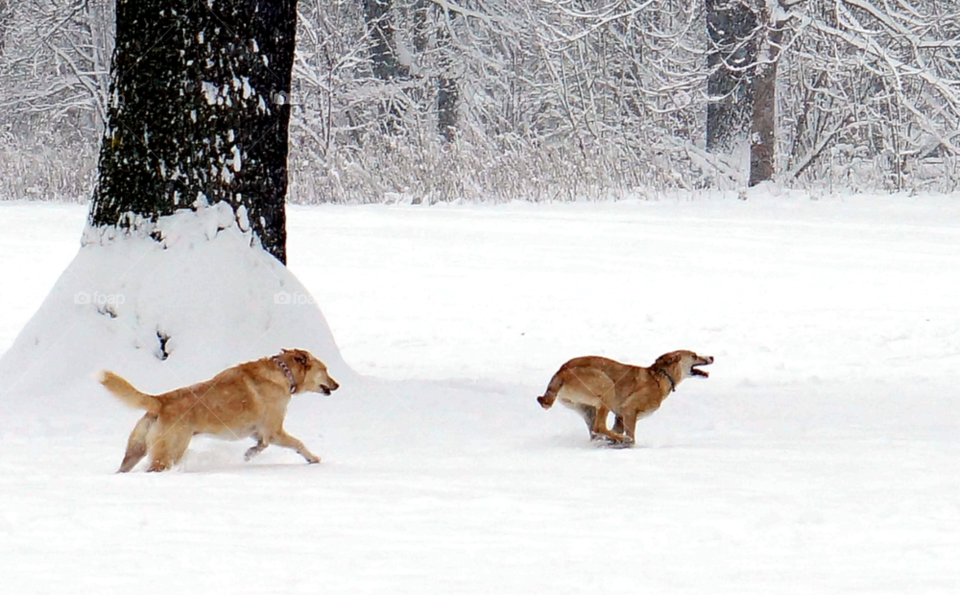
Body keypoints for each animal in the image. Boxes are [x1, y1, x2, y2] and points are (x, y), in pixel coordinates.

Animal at [99, 346, 340, 472]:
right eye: (325, 369)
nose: (337, 385)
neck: (284, 373)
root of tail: (160, 400)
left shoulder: (259, 432)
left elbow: (260, 445)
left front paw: (249, 454)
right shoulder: (274, 430)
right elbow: (297, 443)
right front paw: (313, 458)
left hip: (135, 451)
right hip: (170, 452)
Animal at [540, 350, 712, 448]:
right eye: (694, 355)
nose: (711, 357)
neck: (661, 376)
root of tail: (561, 372)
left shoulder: (620, 417)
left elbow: (614, 430)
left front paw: (615, 441)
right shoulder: (629, 410)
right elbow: (632, 437)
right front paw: (626, 442)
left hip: (587, 407)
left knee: (595, 432)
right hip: (607, 387)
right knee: (599, 427)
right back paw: (622, 439)